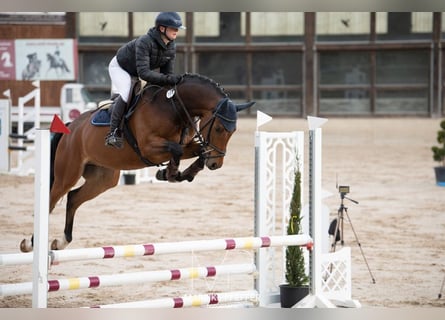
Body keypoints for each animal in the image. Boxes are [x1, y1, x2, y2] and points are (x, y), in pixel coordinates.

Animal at [20, 73, 253, 252]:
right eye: (219, 128)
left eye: (233, 131)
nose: (217, 164)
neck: (175, 107)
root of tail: (71, 126)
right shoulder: (149, 148)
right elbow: (176, 150)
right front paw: (170, 173)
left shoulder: (189, 145)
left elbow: (197, 153)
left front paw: (178, 174)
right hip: (68, 173)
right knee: (52, 200)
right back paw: (30, 244)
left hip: (103, 179)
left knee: (73, 198)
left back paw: (61, 241)